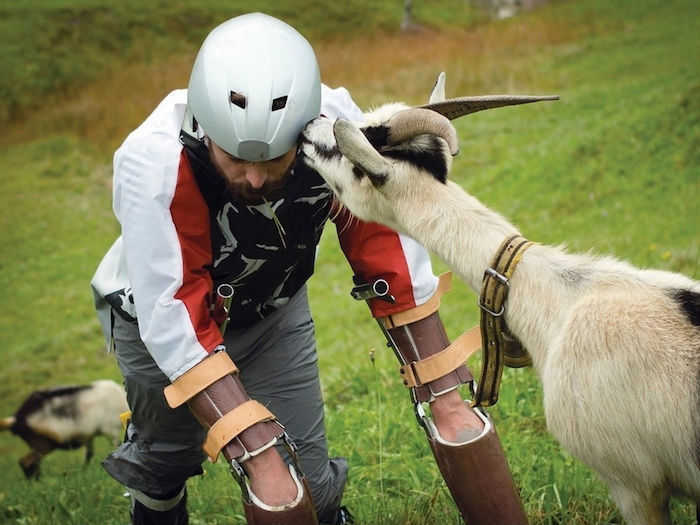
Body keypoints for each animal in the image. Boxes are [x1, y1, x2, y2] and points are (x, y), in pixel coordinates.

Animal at [0, 379, 128, 479]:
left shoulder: (89, 436)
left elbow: (88, 454)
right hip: (43, 444)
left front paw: (84, 471)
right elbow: (117, 446)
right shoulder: (109, 429)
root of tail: (16, 420)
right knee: (26, 462)